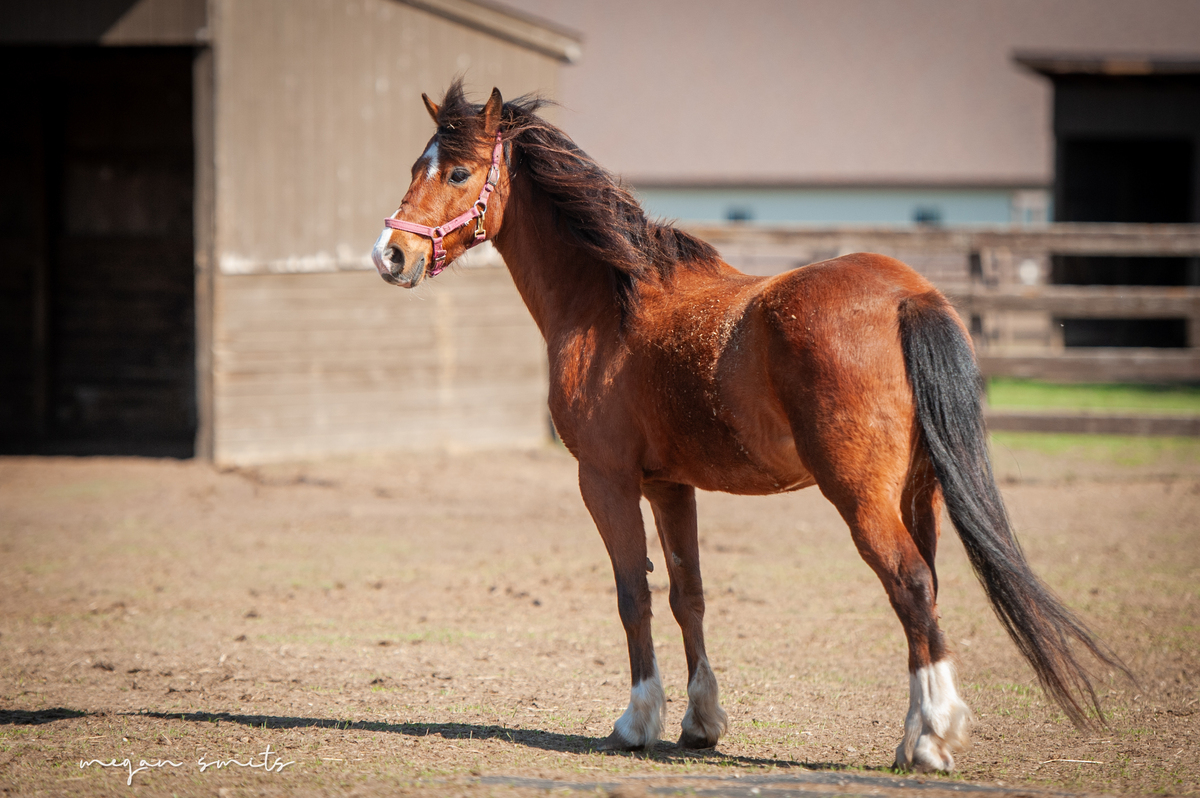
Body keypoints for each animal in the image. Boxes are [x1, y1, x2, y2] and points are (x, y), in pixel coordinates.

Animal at [370, 82, 1127, 772]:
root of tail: (907, 295)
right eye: (414, 165)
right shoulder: (669, 486)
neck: (608, 303)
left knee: (909, 582)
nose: (390, 255)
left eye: (458, 172)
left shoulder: (605, 481)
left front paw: (638, 720)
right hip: (921, 492)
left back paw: (930, 740)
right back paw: (916, 731)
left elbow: (632, 596)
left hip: (861, 496)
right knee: (927, 590)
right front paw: (700, 722)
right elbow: (688, 596)